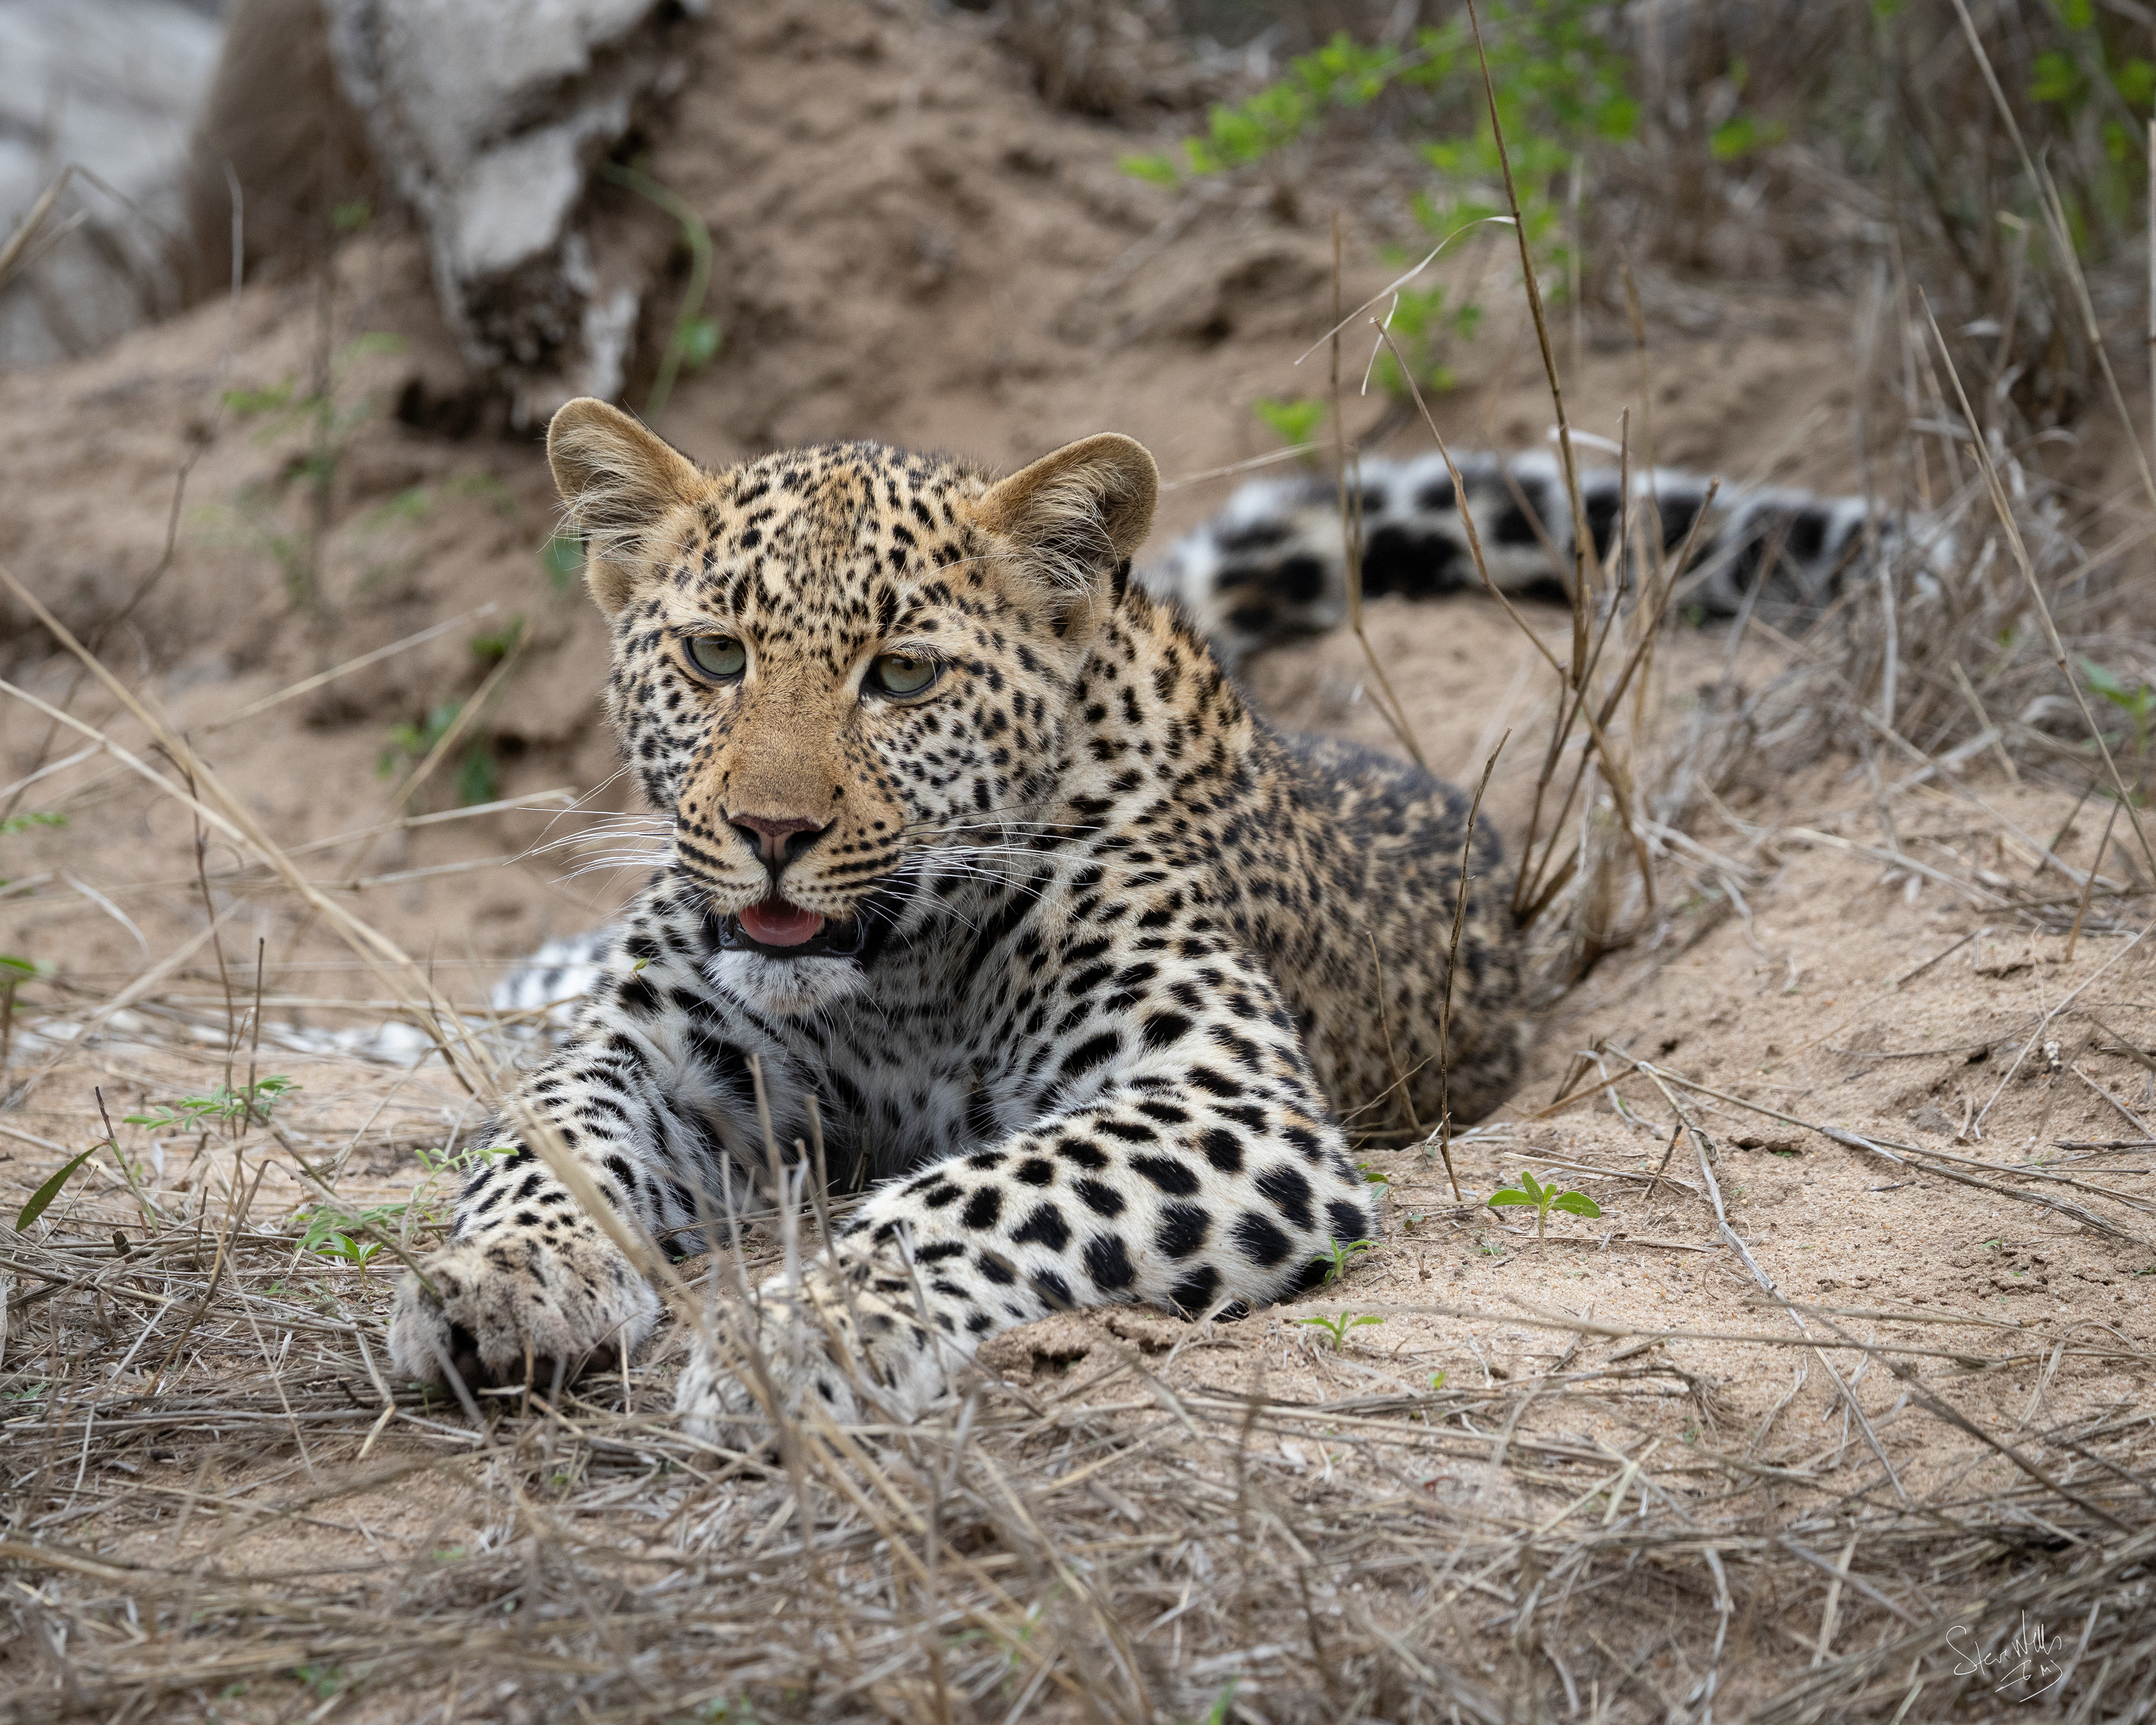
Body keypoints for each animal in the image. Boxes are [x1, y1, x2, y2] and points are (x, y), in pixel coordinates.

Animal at [387, 399, 1538, 1436]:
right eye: (716, 656)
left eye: (902, 673)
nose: (771, 831)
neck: (897, 984)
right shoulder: (652, 1052)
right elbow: (549, 1137)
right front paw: (497, 1275)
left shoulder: (1229, 1103)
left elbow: (973, 1194)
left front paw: (806, 1333)